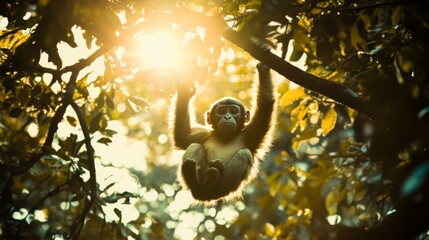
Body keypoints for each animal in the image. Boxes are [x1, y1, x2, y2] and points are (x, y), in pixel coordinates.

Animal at [169, 62, 276, 203]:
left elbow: (266, 105)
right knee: (195, 146)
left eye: (234, 111)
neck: (226, 136)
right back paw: (195, 178)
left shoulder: (251, 133)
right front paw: (185, 92)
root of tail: (204, 196)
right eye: (221, 111)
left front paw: (263, 69)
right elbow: (182, 136)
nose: (227, 117)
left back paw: (212, 178)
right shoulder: (204, 134)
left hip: (225, 190)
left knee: (244, 154)